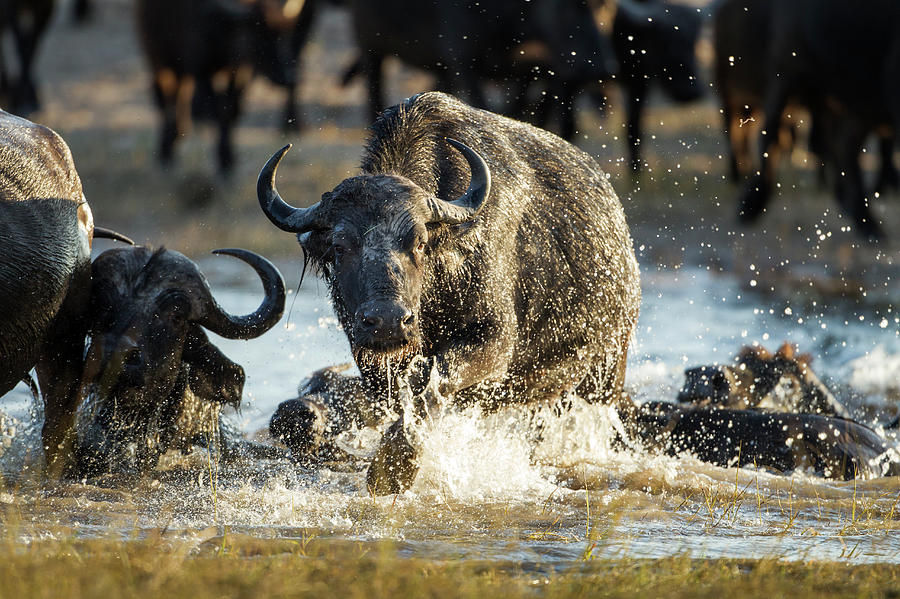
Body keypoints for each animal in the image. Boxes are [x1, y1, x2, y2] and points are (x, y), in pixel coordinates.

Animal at [258, 91, 641, 494]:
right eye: (339, 245)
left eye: (419, 241)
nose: (388, 322)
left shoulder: (495, 343)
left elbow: (436, 380)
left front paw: (394, 466)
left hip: (605, 371)